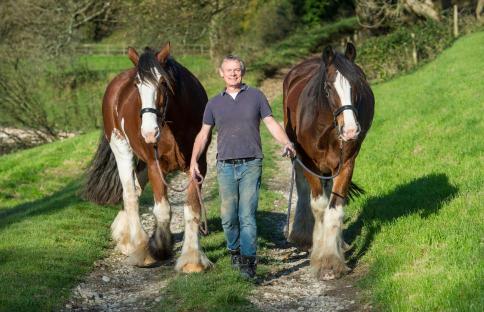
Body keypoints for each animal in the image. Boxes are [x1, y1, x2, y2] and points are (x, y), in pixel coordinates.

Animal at [83, 42, 212, 272]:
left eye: (163, 82)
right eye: (137, 86)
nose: (149, 132)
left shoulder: (198, 166)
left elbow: (192, 210)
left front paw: (192, 260)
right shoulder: (155, 166)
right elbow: (163, 210)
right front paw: (159, 247)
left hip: (141, 161)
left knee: (135, 187)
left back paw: (125, 237)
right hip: (122, 150)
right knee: (130, 195)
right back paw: (140, 249)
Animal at [284, 42, 374, 280]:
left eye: (358, 83)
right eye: (328, 87)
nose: (351, 130)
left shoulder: (347, 163)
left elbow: (335, 208)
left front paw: (331, 261)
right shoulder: (309, 162)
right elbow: (319, 206)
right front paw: (319, 255)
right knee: (303, 187)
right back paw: (303, 235)